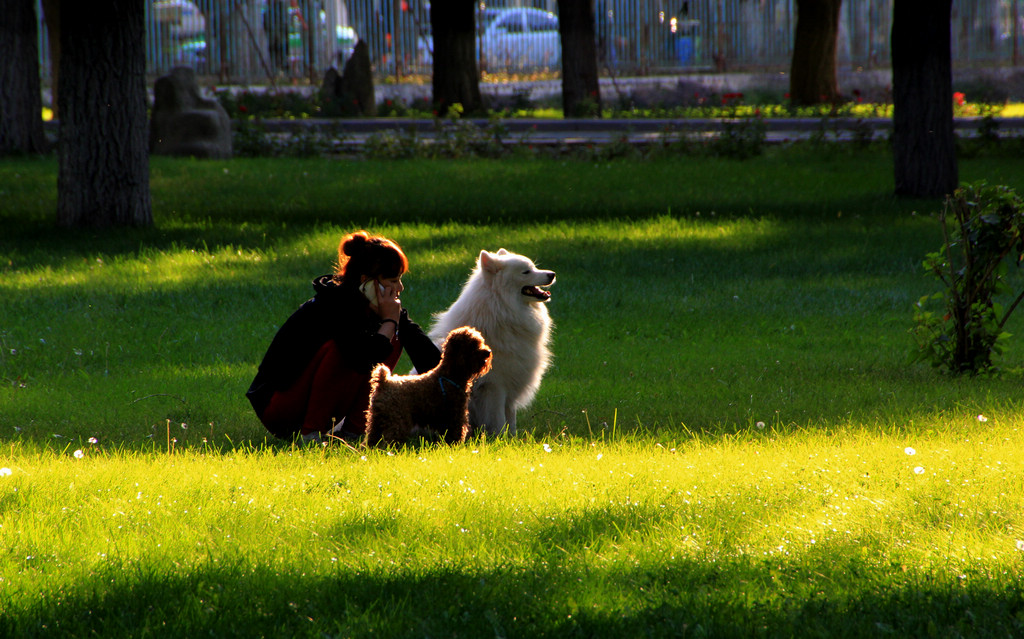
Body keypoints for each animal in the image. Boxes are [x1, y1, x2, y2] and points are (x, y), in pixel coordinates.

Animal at [425, 246, 557, 436]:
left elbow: (511, 418)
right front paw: (500, 439)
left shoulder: (510, 384)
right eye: (526, 272)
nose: (552, 274)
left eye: (534, 267)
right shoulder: (495, 386)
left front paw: (513, 438)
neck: (501, 308)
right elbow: (498, 418)